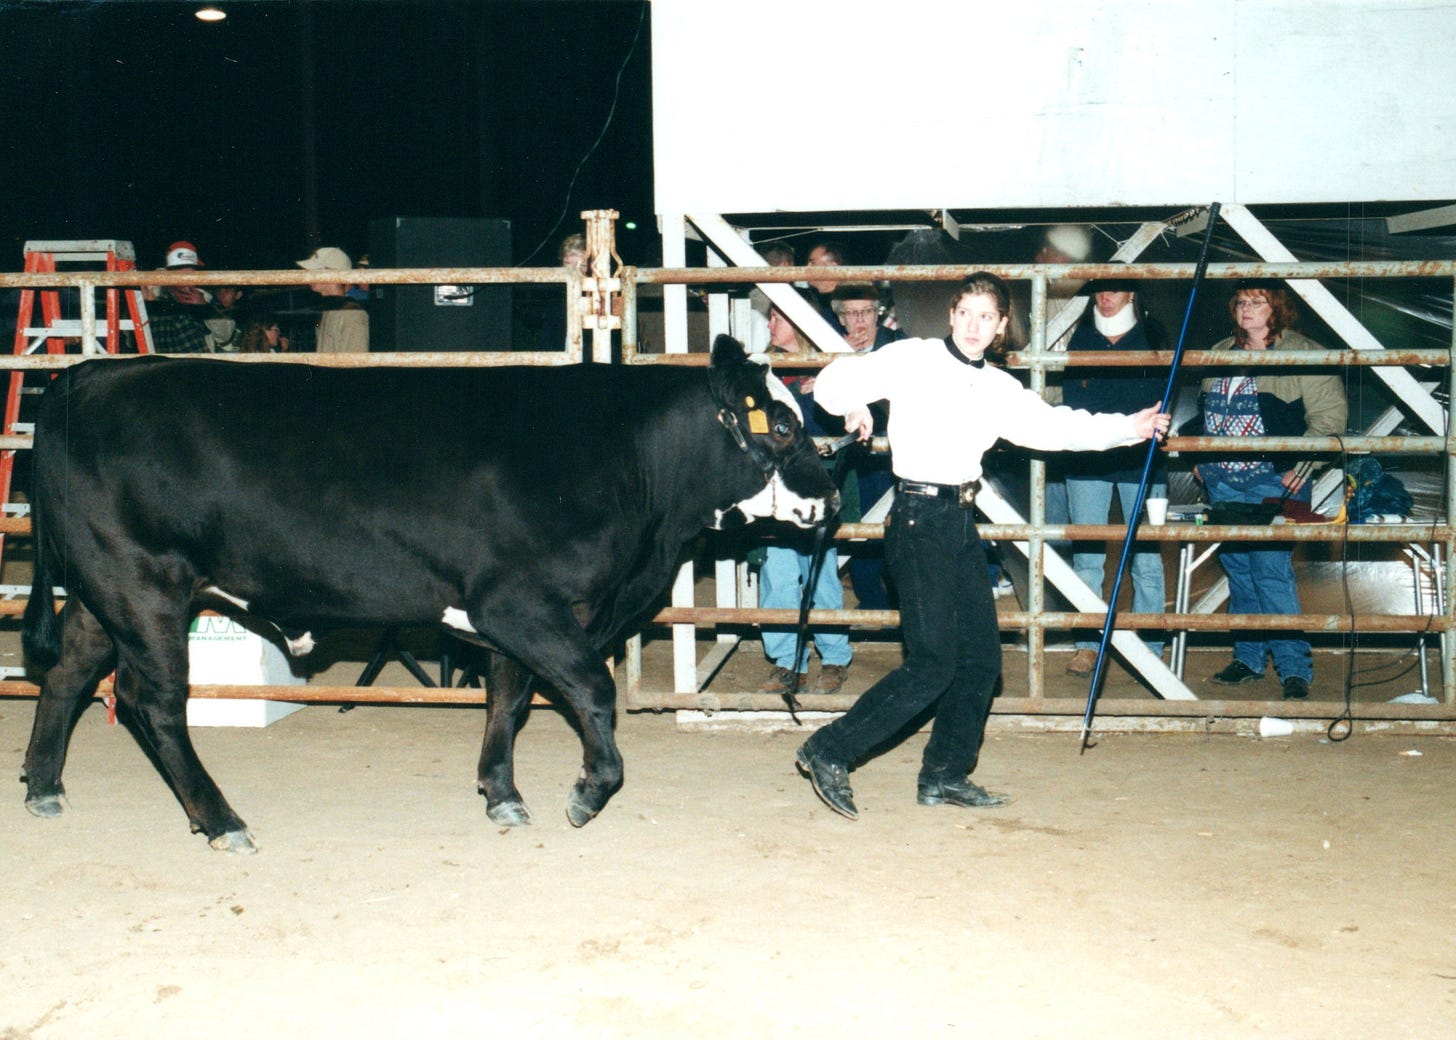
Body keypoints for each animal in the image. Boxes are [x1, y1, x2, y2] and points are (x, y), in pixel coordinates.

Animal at [19, 336, 837, 852]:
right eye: (783, 423)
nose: (830, 496)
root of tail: (88, 377)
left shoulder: (513, 616)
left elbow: (508, 700)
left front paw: (502, 795)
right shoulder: (524, 603)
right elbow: (594, 694)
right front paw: (585, 794)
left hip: (104, 591)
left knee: (67, 671)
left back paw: (43, 787)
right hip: (144, 585)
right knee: (152, 701)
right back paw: (222, 822)